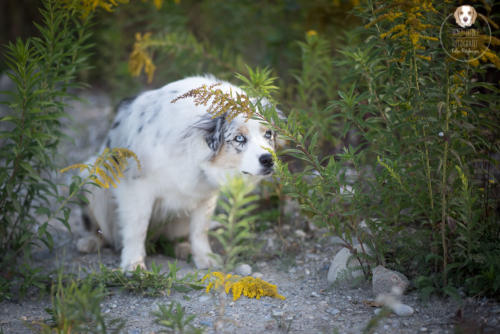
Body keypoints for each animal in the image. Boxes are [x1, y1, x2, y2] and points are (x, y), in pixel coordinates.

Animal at [79, 75, 278, 268]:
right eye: (239, 138)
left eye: (268, 134)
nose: (269, 160)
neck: (188, 147)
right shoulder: (137, 186)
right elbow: (137, 228)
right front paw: (134, 263)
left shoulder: (205, 194)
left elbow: (200, 230)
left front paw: (204, 258)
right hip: (92, 177)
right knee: (101, 231)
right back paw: (90, 242)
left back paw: (183, 248)